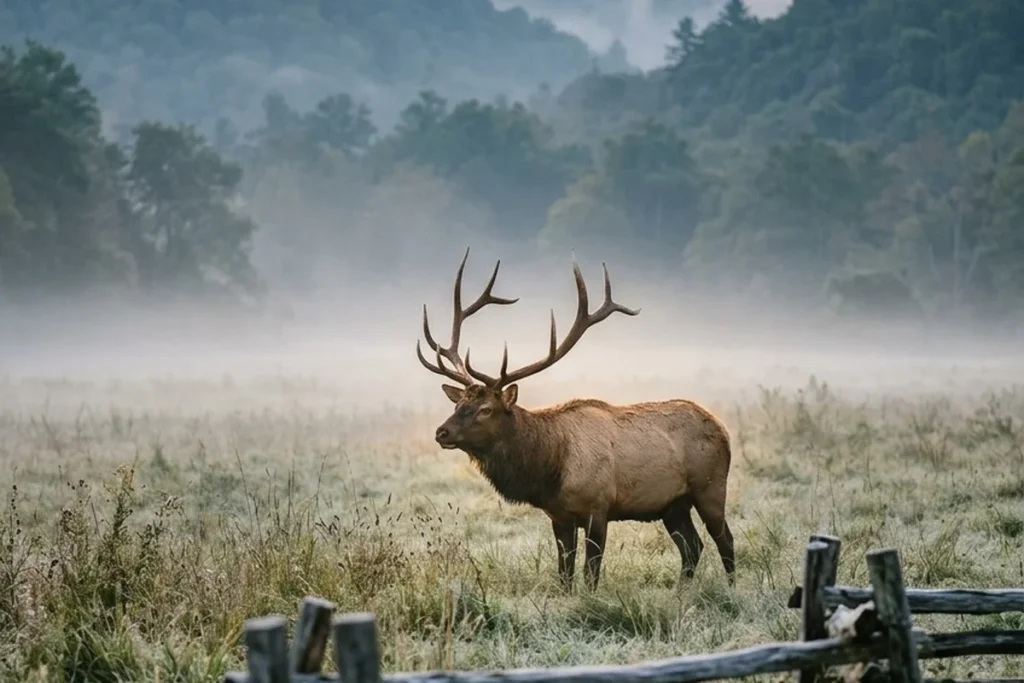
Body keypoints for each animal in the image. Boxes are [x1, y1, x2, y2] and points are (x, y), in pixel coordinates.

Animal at [415, 248, 736, 592]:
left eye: (486, 408)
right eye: (460, 402)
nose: (442, 432)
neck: (550, 466)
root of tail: (722, 428)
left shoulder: (598, 508)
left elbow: (590, 573)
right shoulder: (559, 516)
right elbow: (564, 573)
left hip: (710, 486)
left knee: (724, 539)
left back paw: (731, 588)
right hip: (672, 505)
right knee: (692, 546)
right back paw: (680, 591)